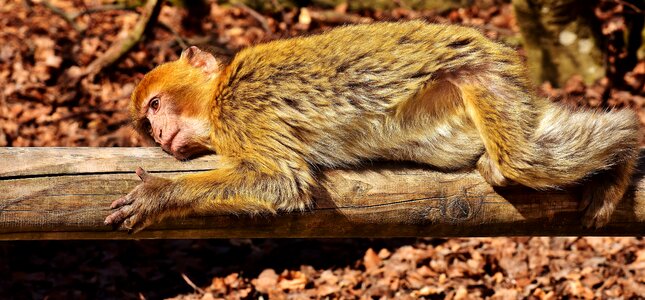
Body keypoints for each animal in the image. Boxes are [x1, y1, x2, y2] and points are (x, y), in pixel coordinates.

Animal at [104, 21, 640, 232]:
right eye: (147, 121)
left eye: (155, 105)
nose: (157, 136)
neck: (215, 98)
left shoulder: (241, 109)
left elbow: (283, 183)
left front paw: (160, 196)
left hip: (485, 76)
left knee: (523, 160)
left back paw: (629, 139)